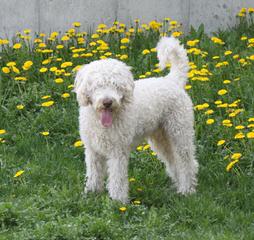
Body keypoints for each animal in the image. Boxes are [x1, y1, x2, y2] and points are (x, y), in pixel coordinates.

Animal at [74, 36, 198, 203]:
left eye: (116, 85)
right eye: (97, 85)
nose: (107, 102)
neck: (102, 122)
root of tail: (172, 80)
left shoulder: (118, 151)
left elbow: (118, 178)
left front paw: (118, 201)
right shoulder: (93, 151)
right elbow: (93, 175)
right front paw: (90, 195)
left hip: (179, 132)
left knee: (187, 163)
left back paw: (187, 190)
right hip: (161, 139)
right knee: (173, 161)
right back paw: (178, 187)